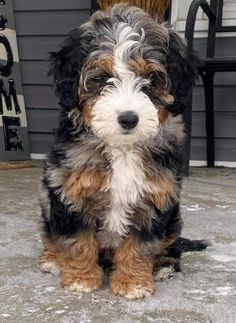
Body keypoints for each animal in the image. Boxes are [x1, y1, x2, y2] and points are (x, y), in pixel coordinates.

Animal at [38, 3, 206, 300]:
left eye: (151, 78)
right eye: (103, 78)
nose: (128, 118)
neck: (122, 147)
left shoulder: (155, 197)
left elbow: (140, 246)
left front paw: (133, 283)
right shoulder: (69, 191)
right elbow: (76, 239)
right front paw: (81, 278)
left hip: (174, 218)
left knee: (170, 245)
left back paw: (164, 266)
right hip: (46, 203)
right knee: (51, 236)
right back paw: (52, 260)